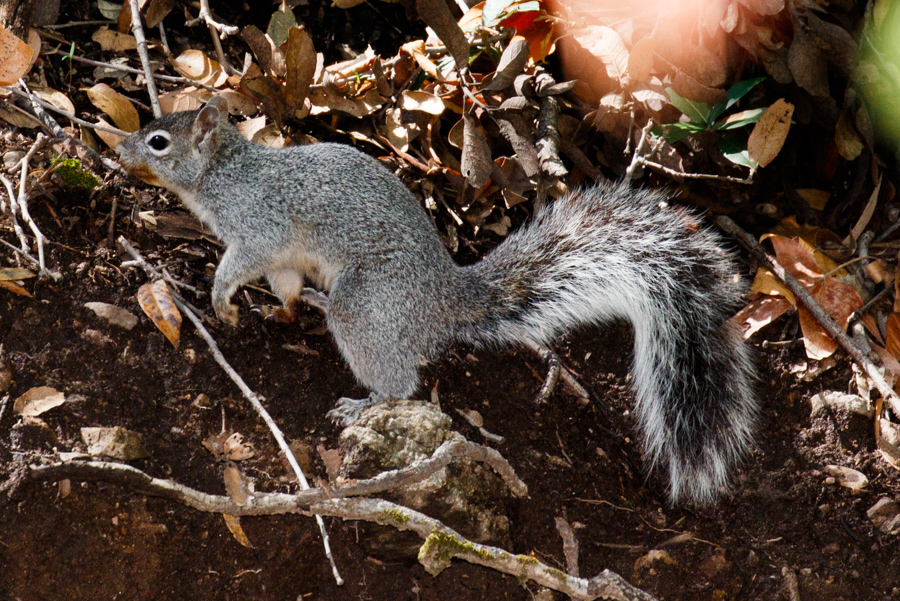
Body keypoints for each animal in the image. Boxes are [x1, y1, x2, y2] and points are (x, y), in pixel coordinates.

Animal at [116, 96, 756, 504]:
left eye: (158, 140)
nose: (118, 150)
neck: (226, 176)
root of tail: (441, 303)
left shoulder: (261, 229)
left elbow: (240, 263)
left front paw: (221, 299)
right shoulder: (283, 263)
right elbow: (287, 287)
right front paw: (280, 310)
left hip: (366, 306)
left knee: (402, 383)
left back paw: (364, 404)